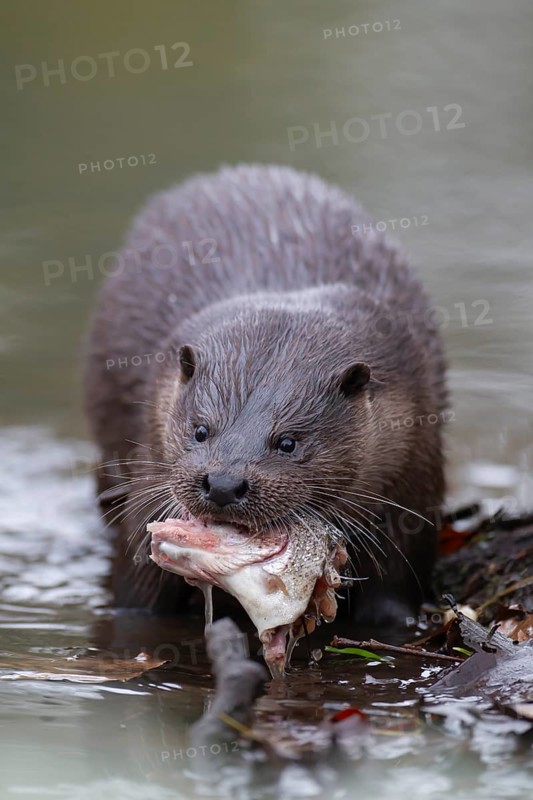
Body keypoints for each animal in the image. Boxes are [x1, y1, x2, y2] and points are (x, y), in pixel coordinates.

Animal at [83, 164, 447, 624]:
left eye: (288, 442)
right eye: (200, 431)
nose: (223, 483)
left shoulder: (414, 478)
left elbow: (396, 588)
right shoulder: (149, 463)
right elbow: (138, 592)